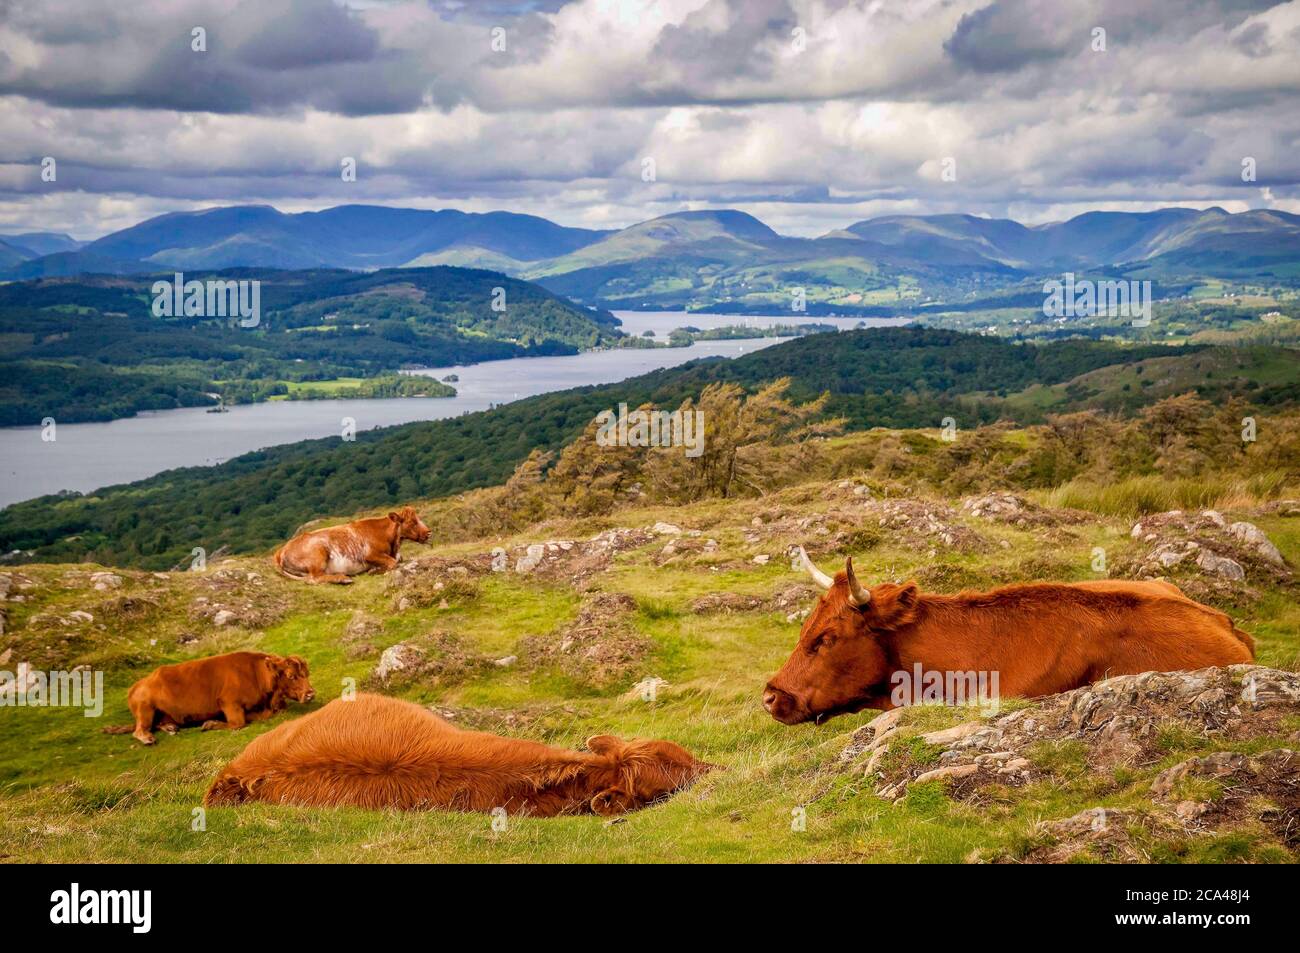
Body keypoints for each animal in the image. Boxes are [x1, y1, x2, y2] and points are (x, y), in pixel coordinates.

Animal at [102, 650, 313, 748]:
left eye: (307, 673)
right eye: (291, 675)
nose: (310, 693)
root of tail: (135, 685)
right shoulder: (229, 703)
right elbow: (238, 723)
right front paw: (210, 723)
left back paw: (170, 727)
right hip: (145, 707)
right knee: (140, 729)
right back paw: (148, 738)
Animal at [271, 501, 428, 582]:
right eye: (413, 522)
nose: (428, 532)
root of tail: (280, 551)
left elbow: (398, 559)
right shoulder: (370, 554)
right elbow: (393, 563)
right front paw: (374, 570)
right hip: (318, 554)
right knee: (315, 578)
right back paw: (343, 578)